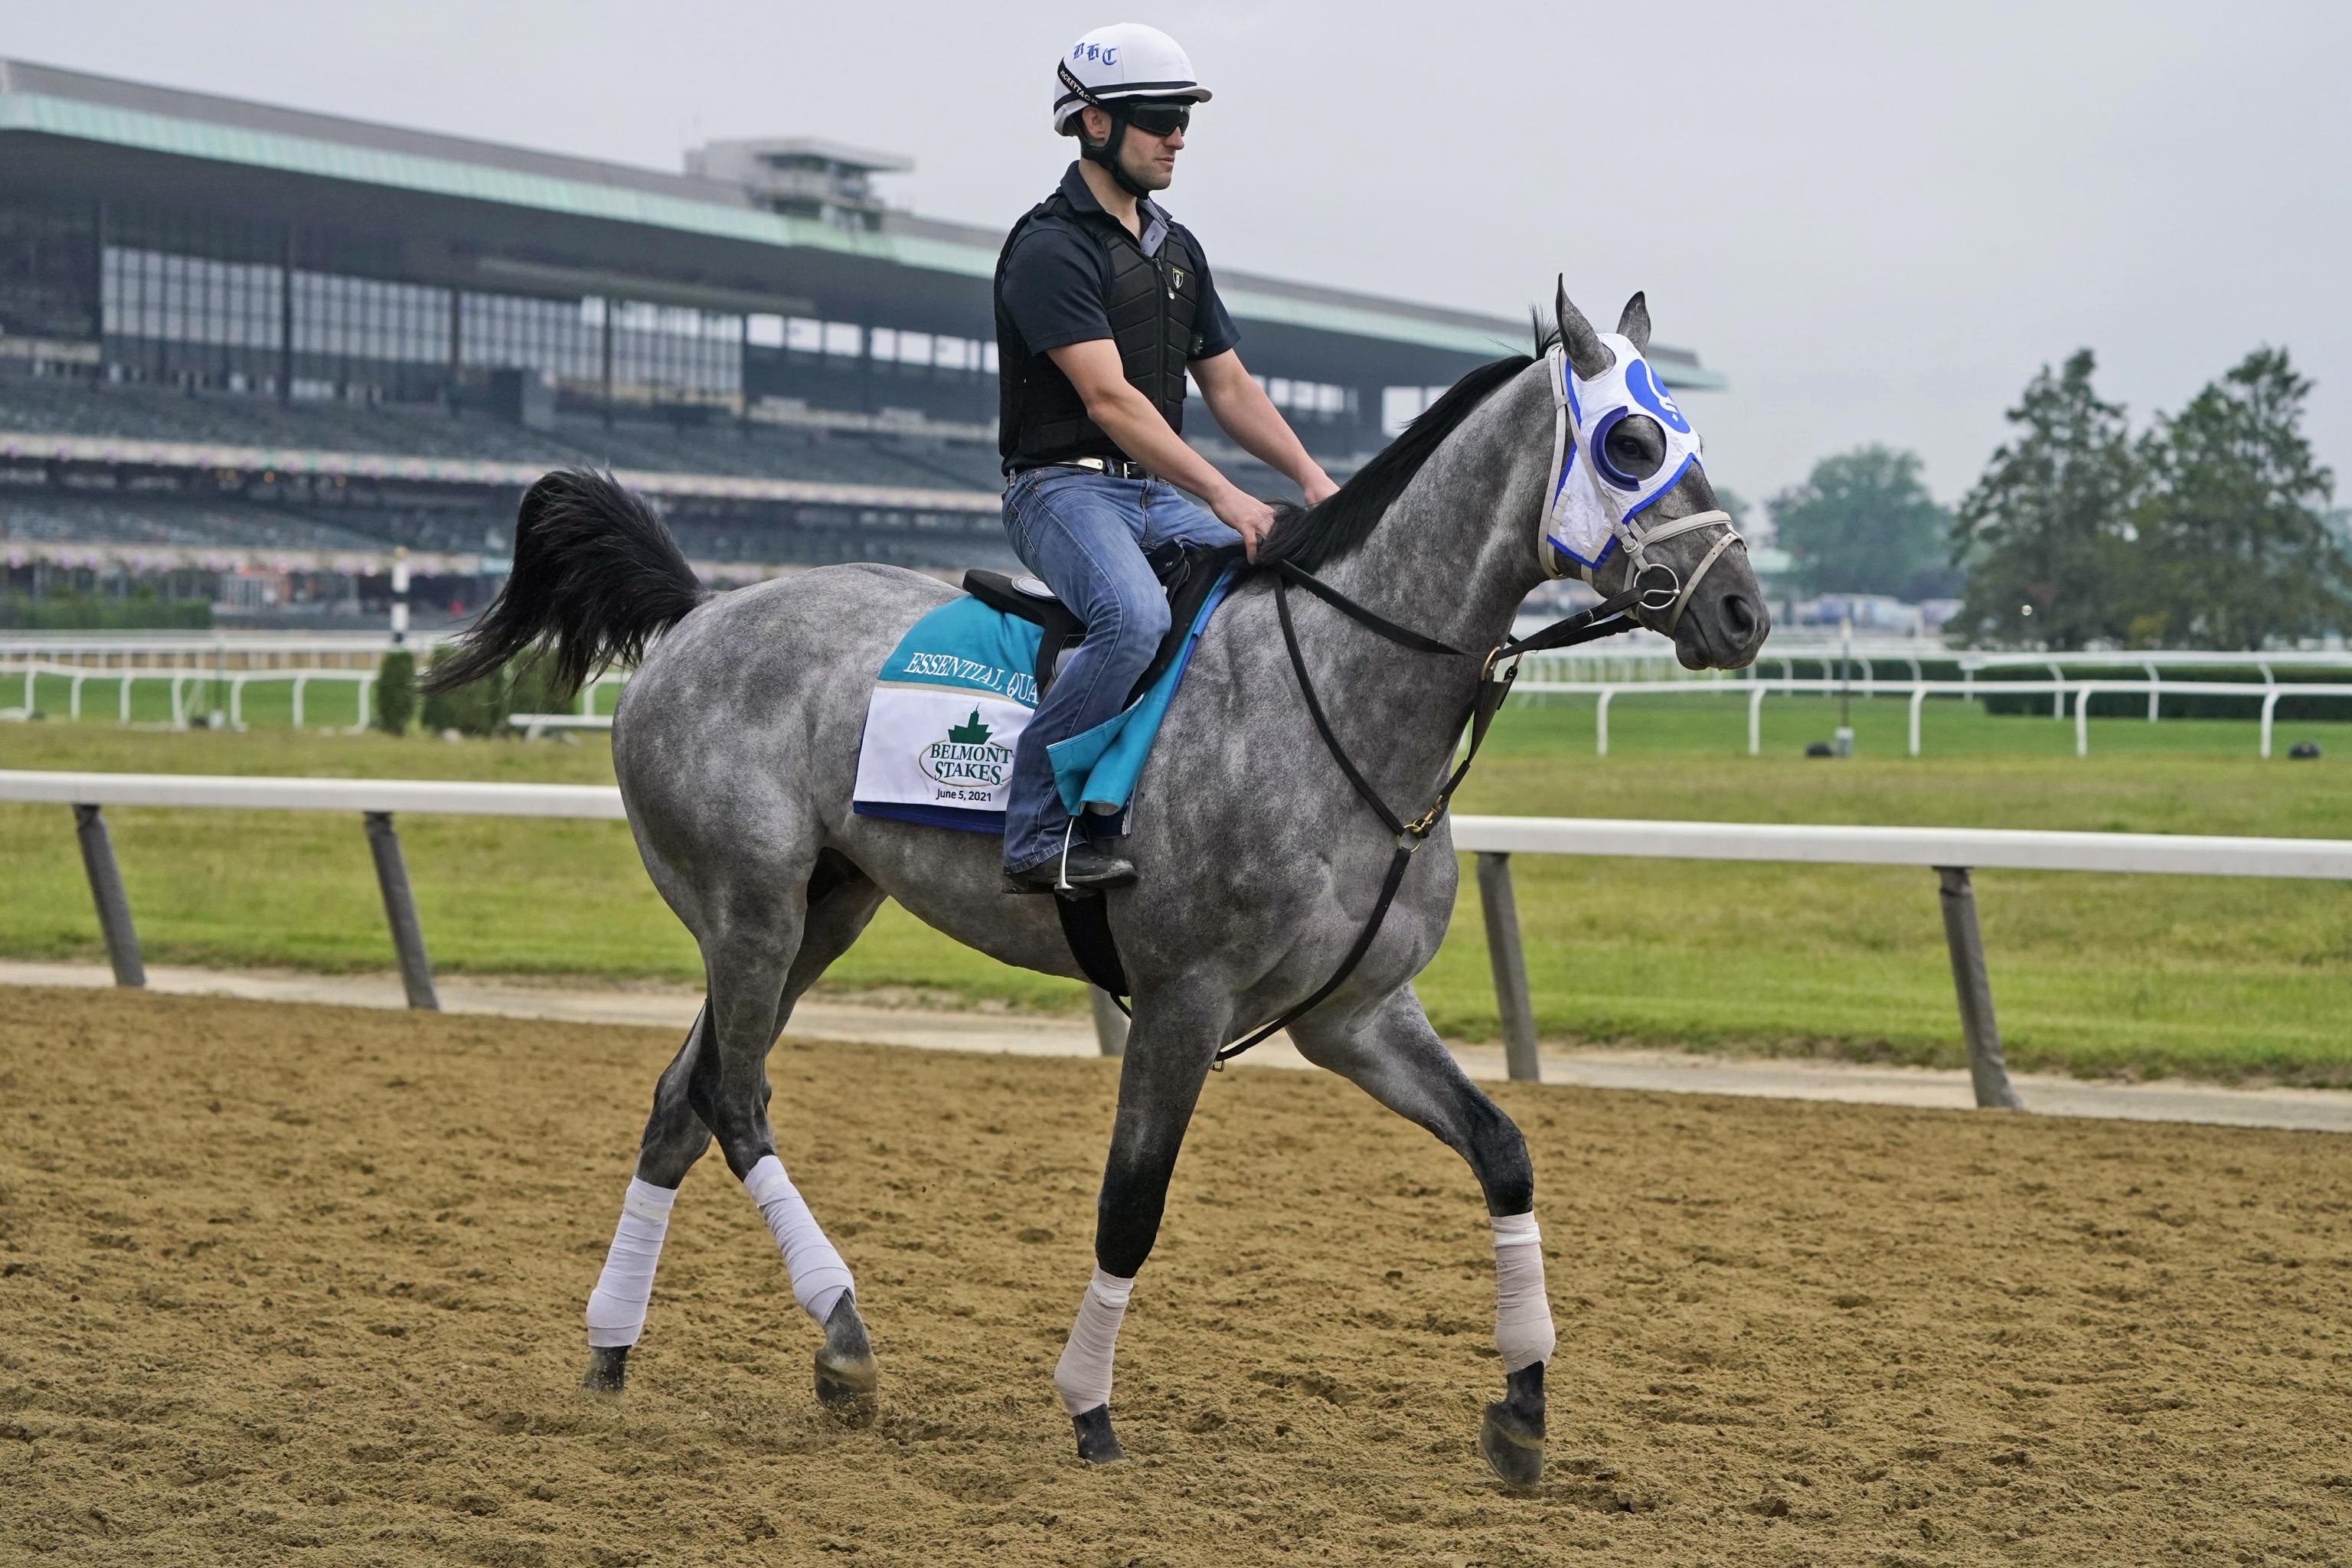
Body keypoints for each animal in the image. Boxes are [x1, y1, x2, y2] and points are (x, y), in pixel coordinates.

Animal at [428, 282, 1769, 1485]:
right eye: (1631, 442)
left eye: (1693, 442)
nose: (1744, 612)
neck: (1339, 697)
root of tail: (701, 612)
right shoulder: (1184, 1002)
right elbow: (1133, 1205)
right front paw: (1089, 1408)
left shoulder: (1354, 1015)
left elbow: (1504, 1150)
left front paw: (1526, 1404)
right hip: (746, 907)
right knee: (737, 1097)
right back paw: (844, 1338)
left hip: (824, 908)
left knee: (682, 1098)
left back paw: (614, 1348)